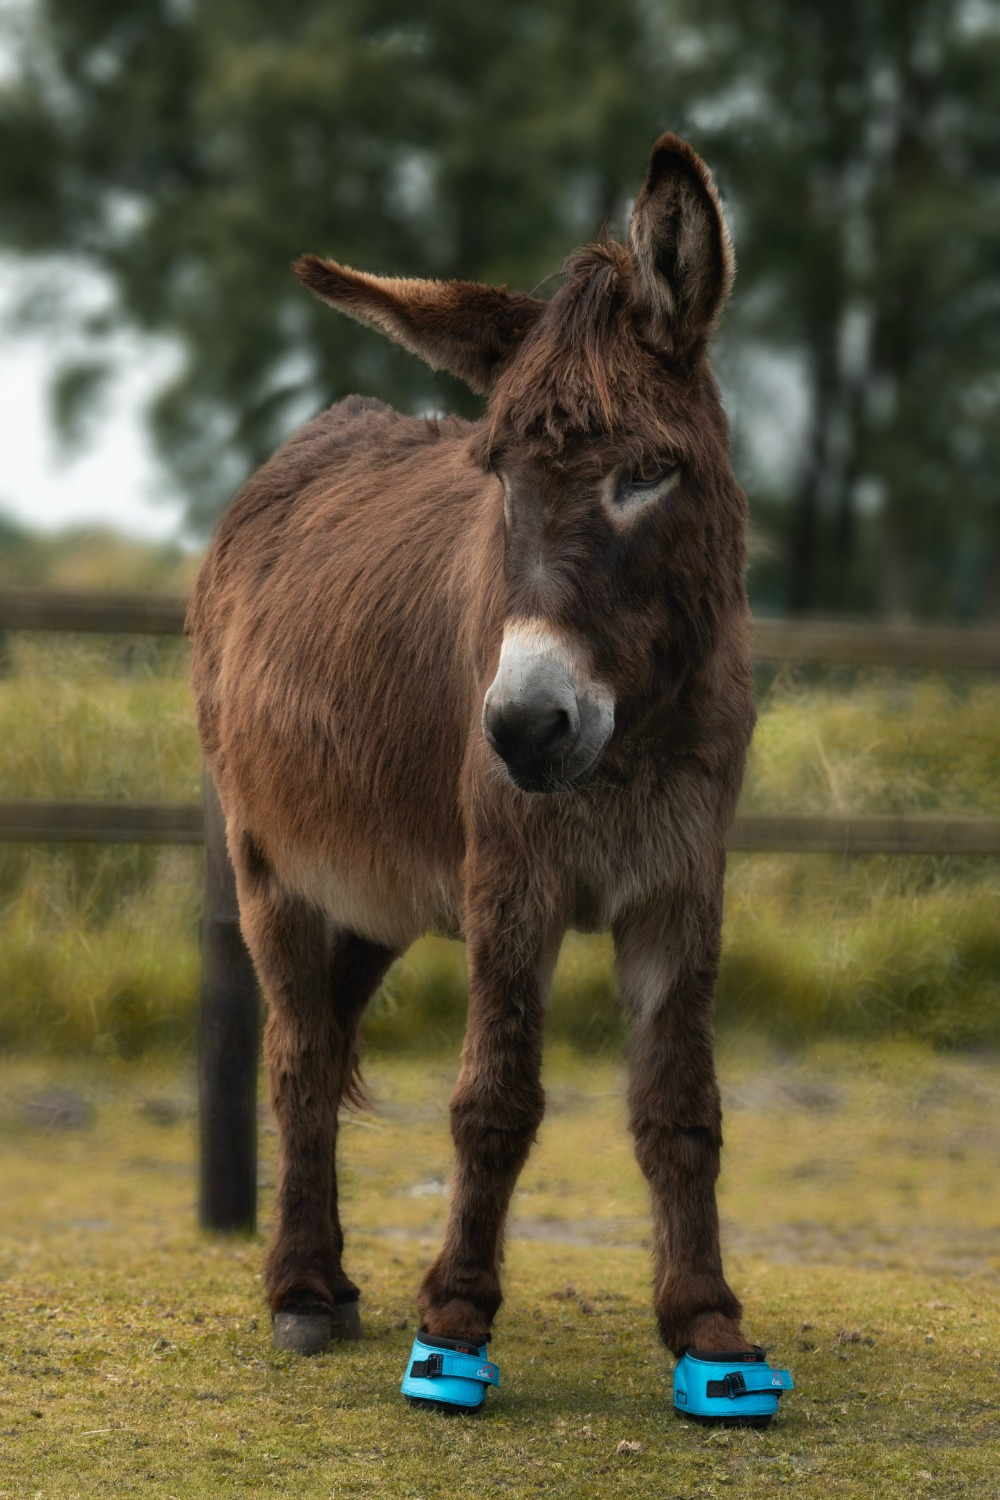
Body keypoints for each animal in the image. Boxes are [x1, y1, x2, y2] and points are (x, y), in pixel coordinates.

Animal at [187, 133, 759, 1390]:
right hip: (271, 864)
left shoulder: (683, 883)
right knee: (297, 1054)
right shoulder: (511, 882)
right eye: (496, 475)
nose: (524, 729)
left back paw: (336, 1277)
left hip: (378, 895)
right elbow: (492, 1099)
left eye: (648, 473)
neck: (630, 742)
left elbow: (680, 1105)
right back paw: (302, 1292)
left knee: (330, 1040)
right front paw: (452, 1317)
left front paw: (705, 1324)